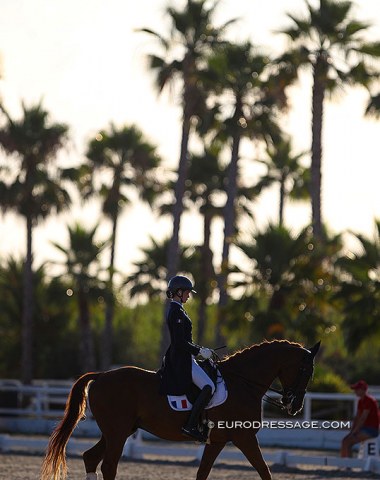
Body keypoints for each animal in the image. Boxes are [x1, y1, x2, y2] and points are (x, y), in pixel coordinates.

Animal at [42, 338, 320, 480]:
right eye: (306, 369)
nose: (294, 406)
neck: (242, 382)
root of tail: (101, 376)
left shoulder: (218, 440)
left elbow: (202, 473)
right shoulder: (244, 437)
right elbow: (264, 471)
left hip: (116, 431)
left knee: (91, 457)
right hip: (117, 432)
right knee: (109, 465)